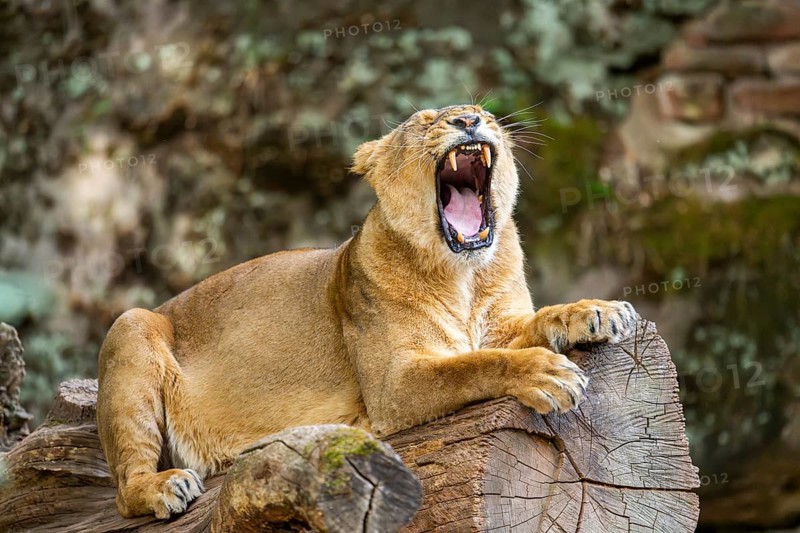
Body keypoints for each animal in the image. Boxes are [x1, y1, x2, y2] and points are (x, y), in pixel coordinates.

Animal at [96, 104, 637, 519]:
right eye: (424, 122)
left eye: (483, 113)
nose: (467, 120)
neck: (463, 276)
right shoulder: (392, 384)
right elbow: (474, 365)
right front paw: (547, 374)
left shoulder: (502, 325)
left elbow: (537, 321)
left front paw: (598, 311)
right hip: (130, 326)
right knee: (123, 488)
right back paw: (164, 487)